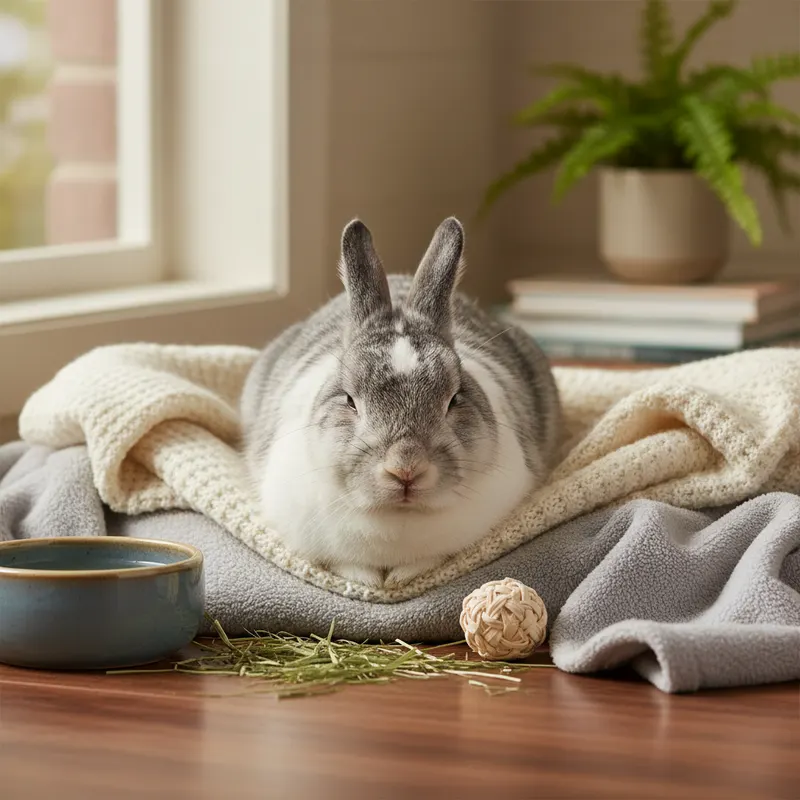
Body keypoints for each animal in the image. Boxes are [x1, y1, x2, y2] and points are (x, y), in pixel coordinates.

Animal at [240, 216, 562, 589]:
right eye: (350, 399)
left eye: (454, 398)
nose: (406, 468)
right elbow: (344, 564)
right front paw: (366, 580)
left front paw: (399, 578)